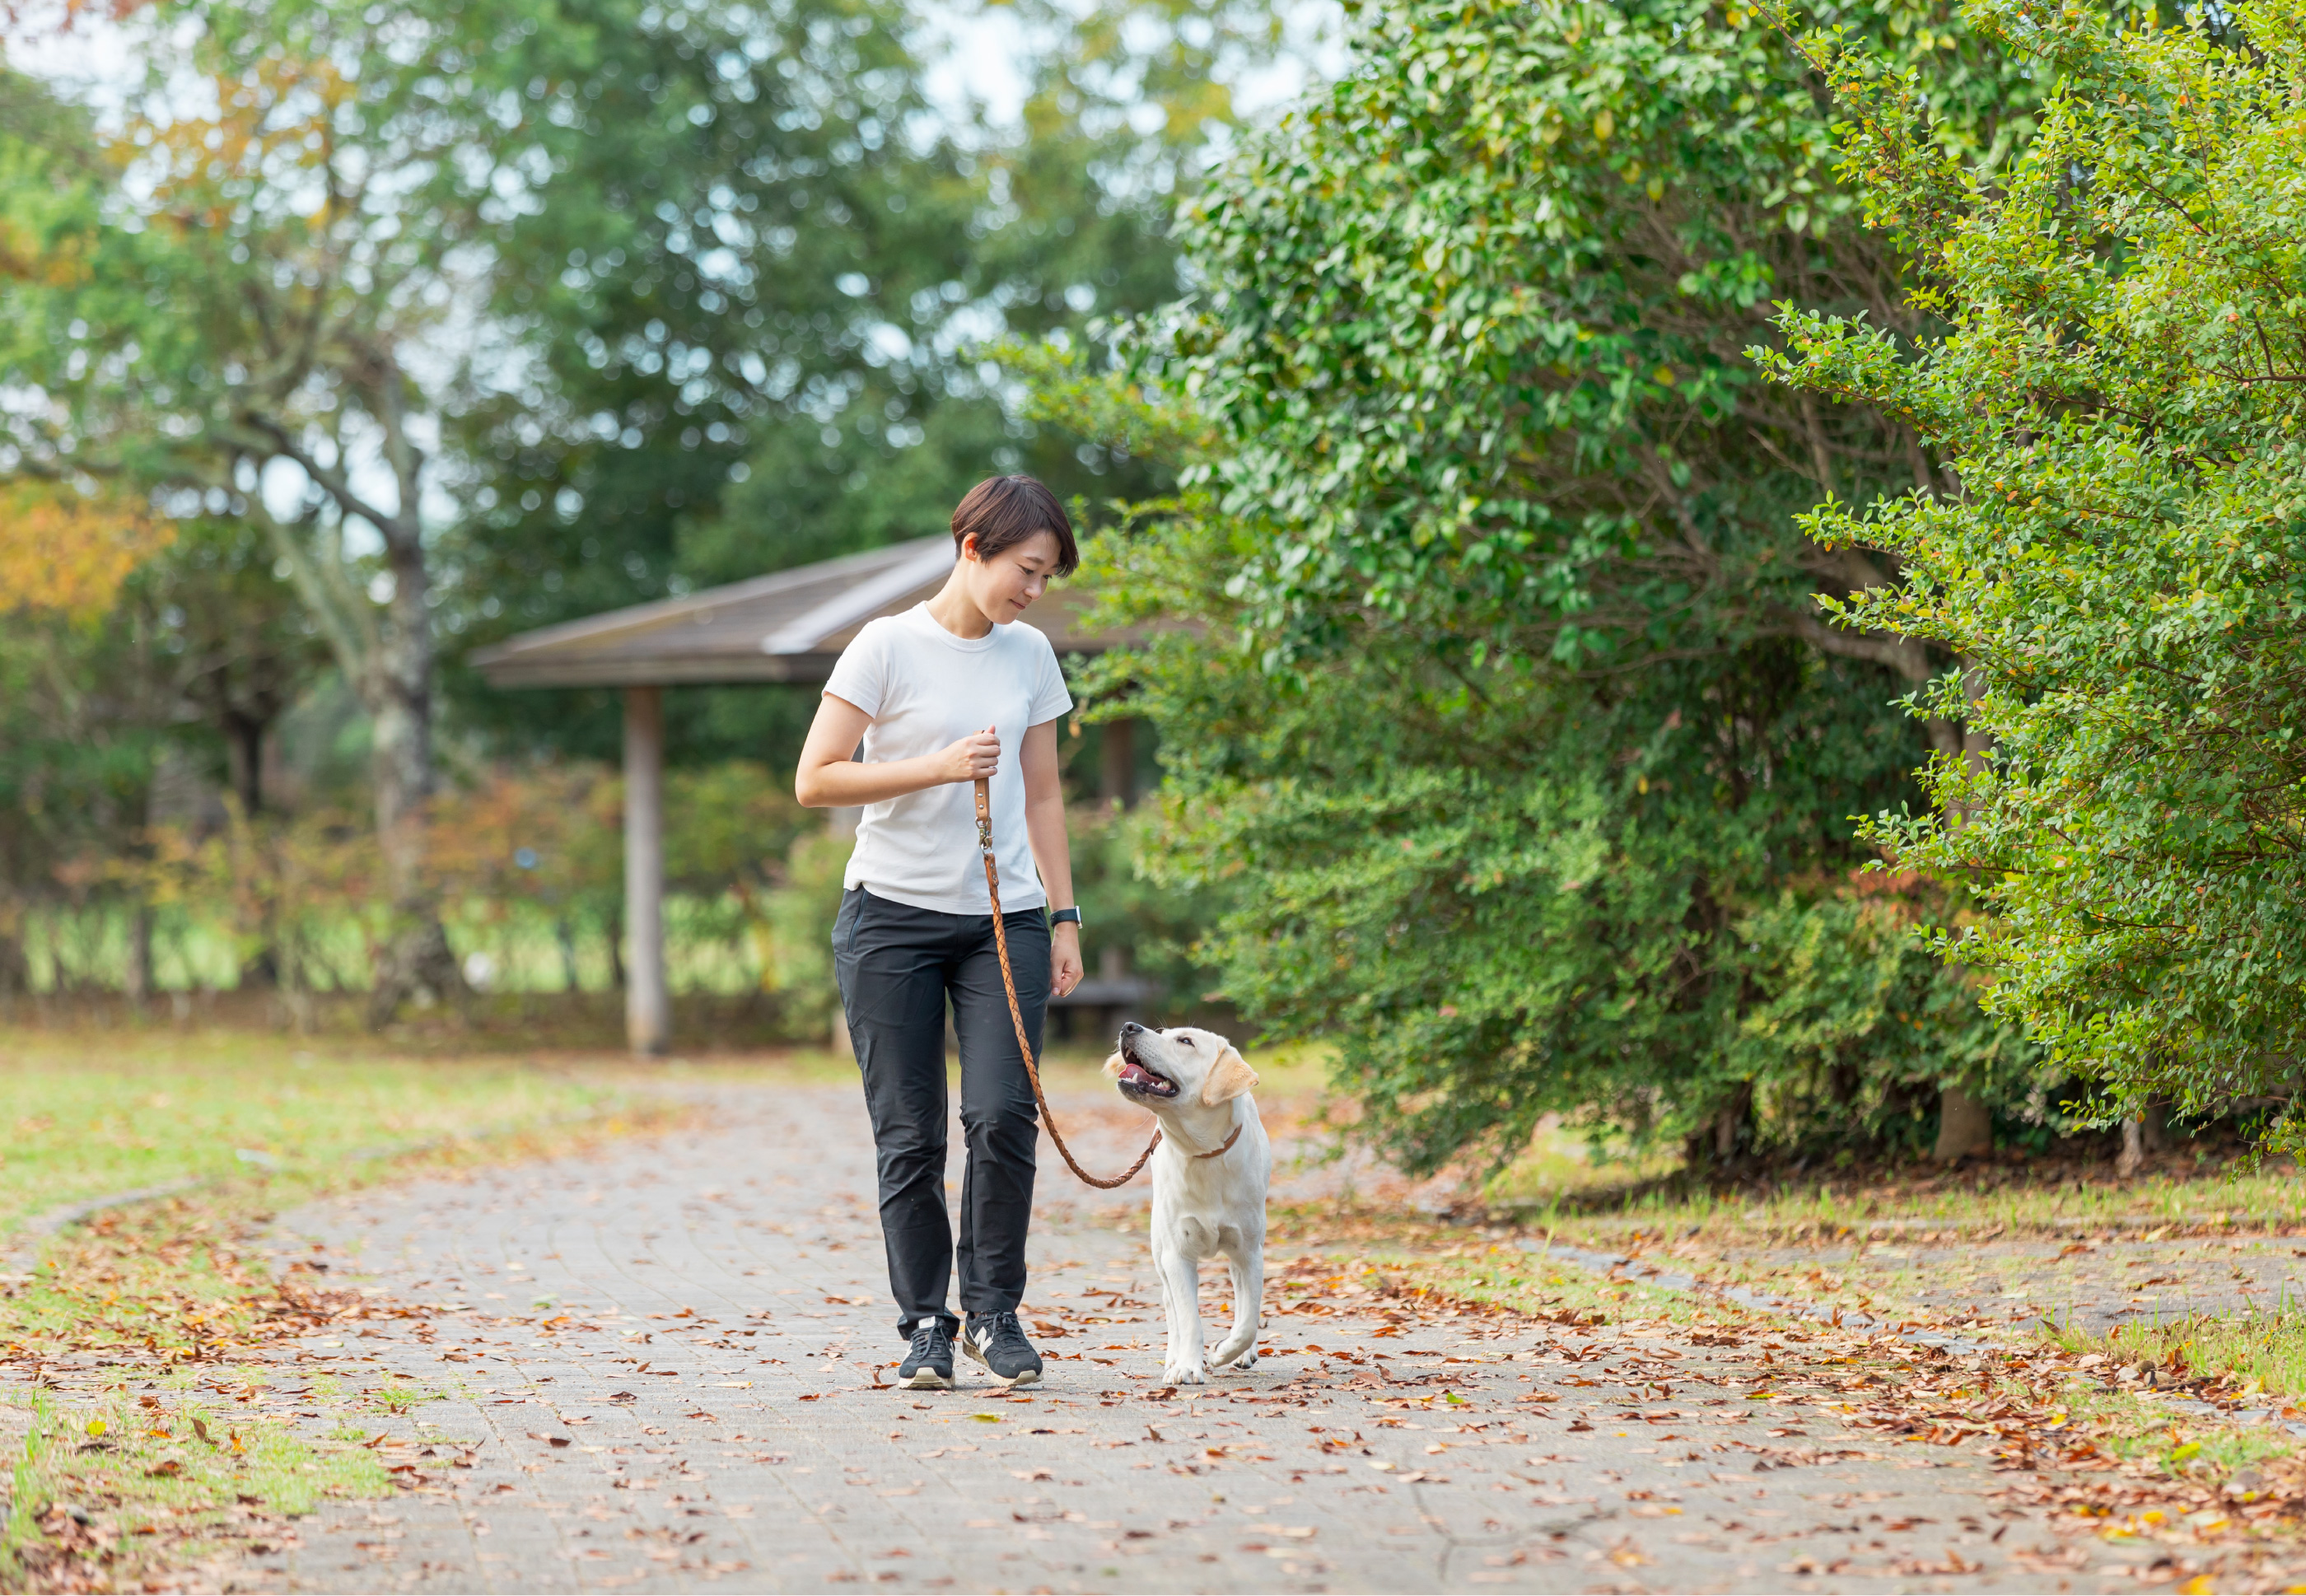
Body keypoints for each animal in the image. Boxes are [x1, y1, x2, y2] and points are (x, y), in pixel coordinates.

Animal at [1102, 1024, 1272, 1384]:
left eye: (1185, 1042)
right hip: (1158, 1246)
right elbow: (1188, 1317)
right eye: (1163, 1032)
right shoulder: (1176, 1254)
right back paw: (1173, 1355)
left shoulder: (1250, 1252)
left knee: (1241, 1300)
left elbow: (1248, 1320)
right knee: (1170, 1305)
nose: (1128, 1027)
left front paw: (1224, 1351)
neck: (1202, 1153)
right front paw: (1187, 1366)